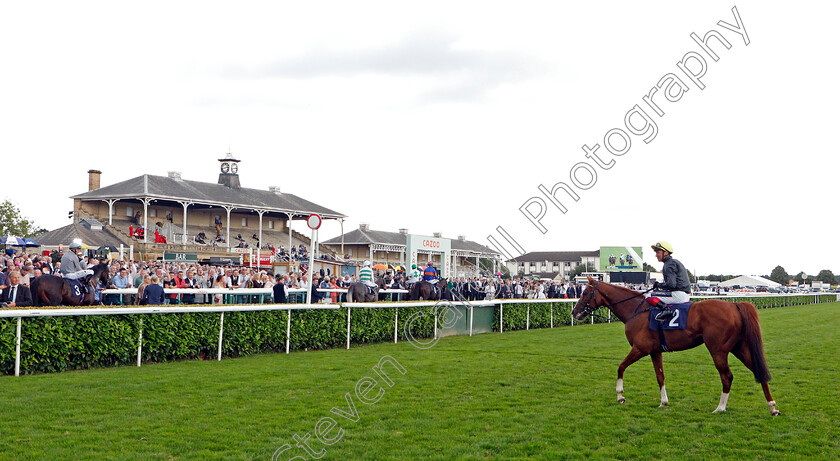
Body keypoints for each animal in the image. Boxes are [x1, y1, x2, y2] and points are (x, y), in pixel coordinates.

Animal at [572, 276, 780, 416]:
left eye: (584, 292)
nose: (575, 312)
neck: (636, 310)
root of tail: (734, 305)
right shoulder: (655, 351)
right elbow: (660, 376)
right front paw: (663, 402)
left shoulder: (640, 348)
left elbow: (620, 367)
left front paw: (620, 396)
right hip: (738, 347)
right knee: (758, 371)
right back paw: (772, 407)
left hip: (718, 350)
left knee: (727, 376)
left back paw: (720, 408)